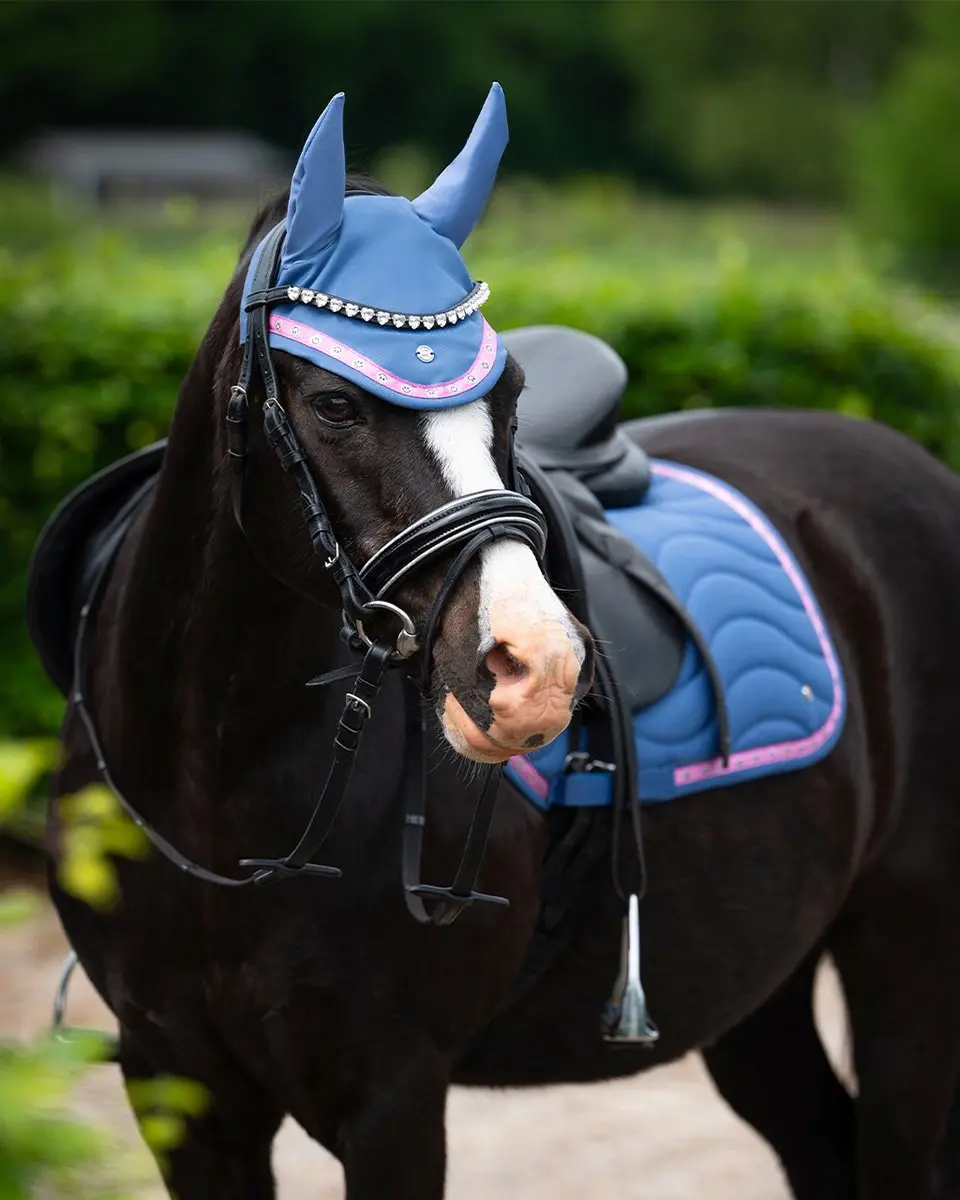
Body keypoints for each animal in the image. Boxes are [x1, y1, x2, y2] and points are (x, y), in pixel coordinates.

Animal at [28, 87, 960, 1200]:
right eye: (335, 405)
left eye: (511, 398)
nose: (538, 669)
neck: (215, 788)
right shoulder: (181, 1093)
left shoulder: (392, 1100)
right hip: (760, 982)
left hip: (907, 961)